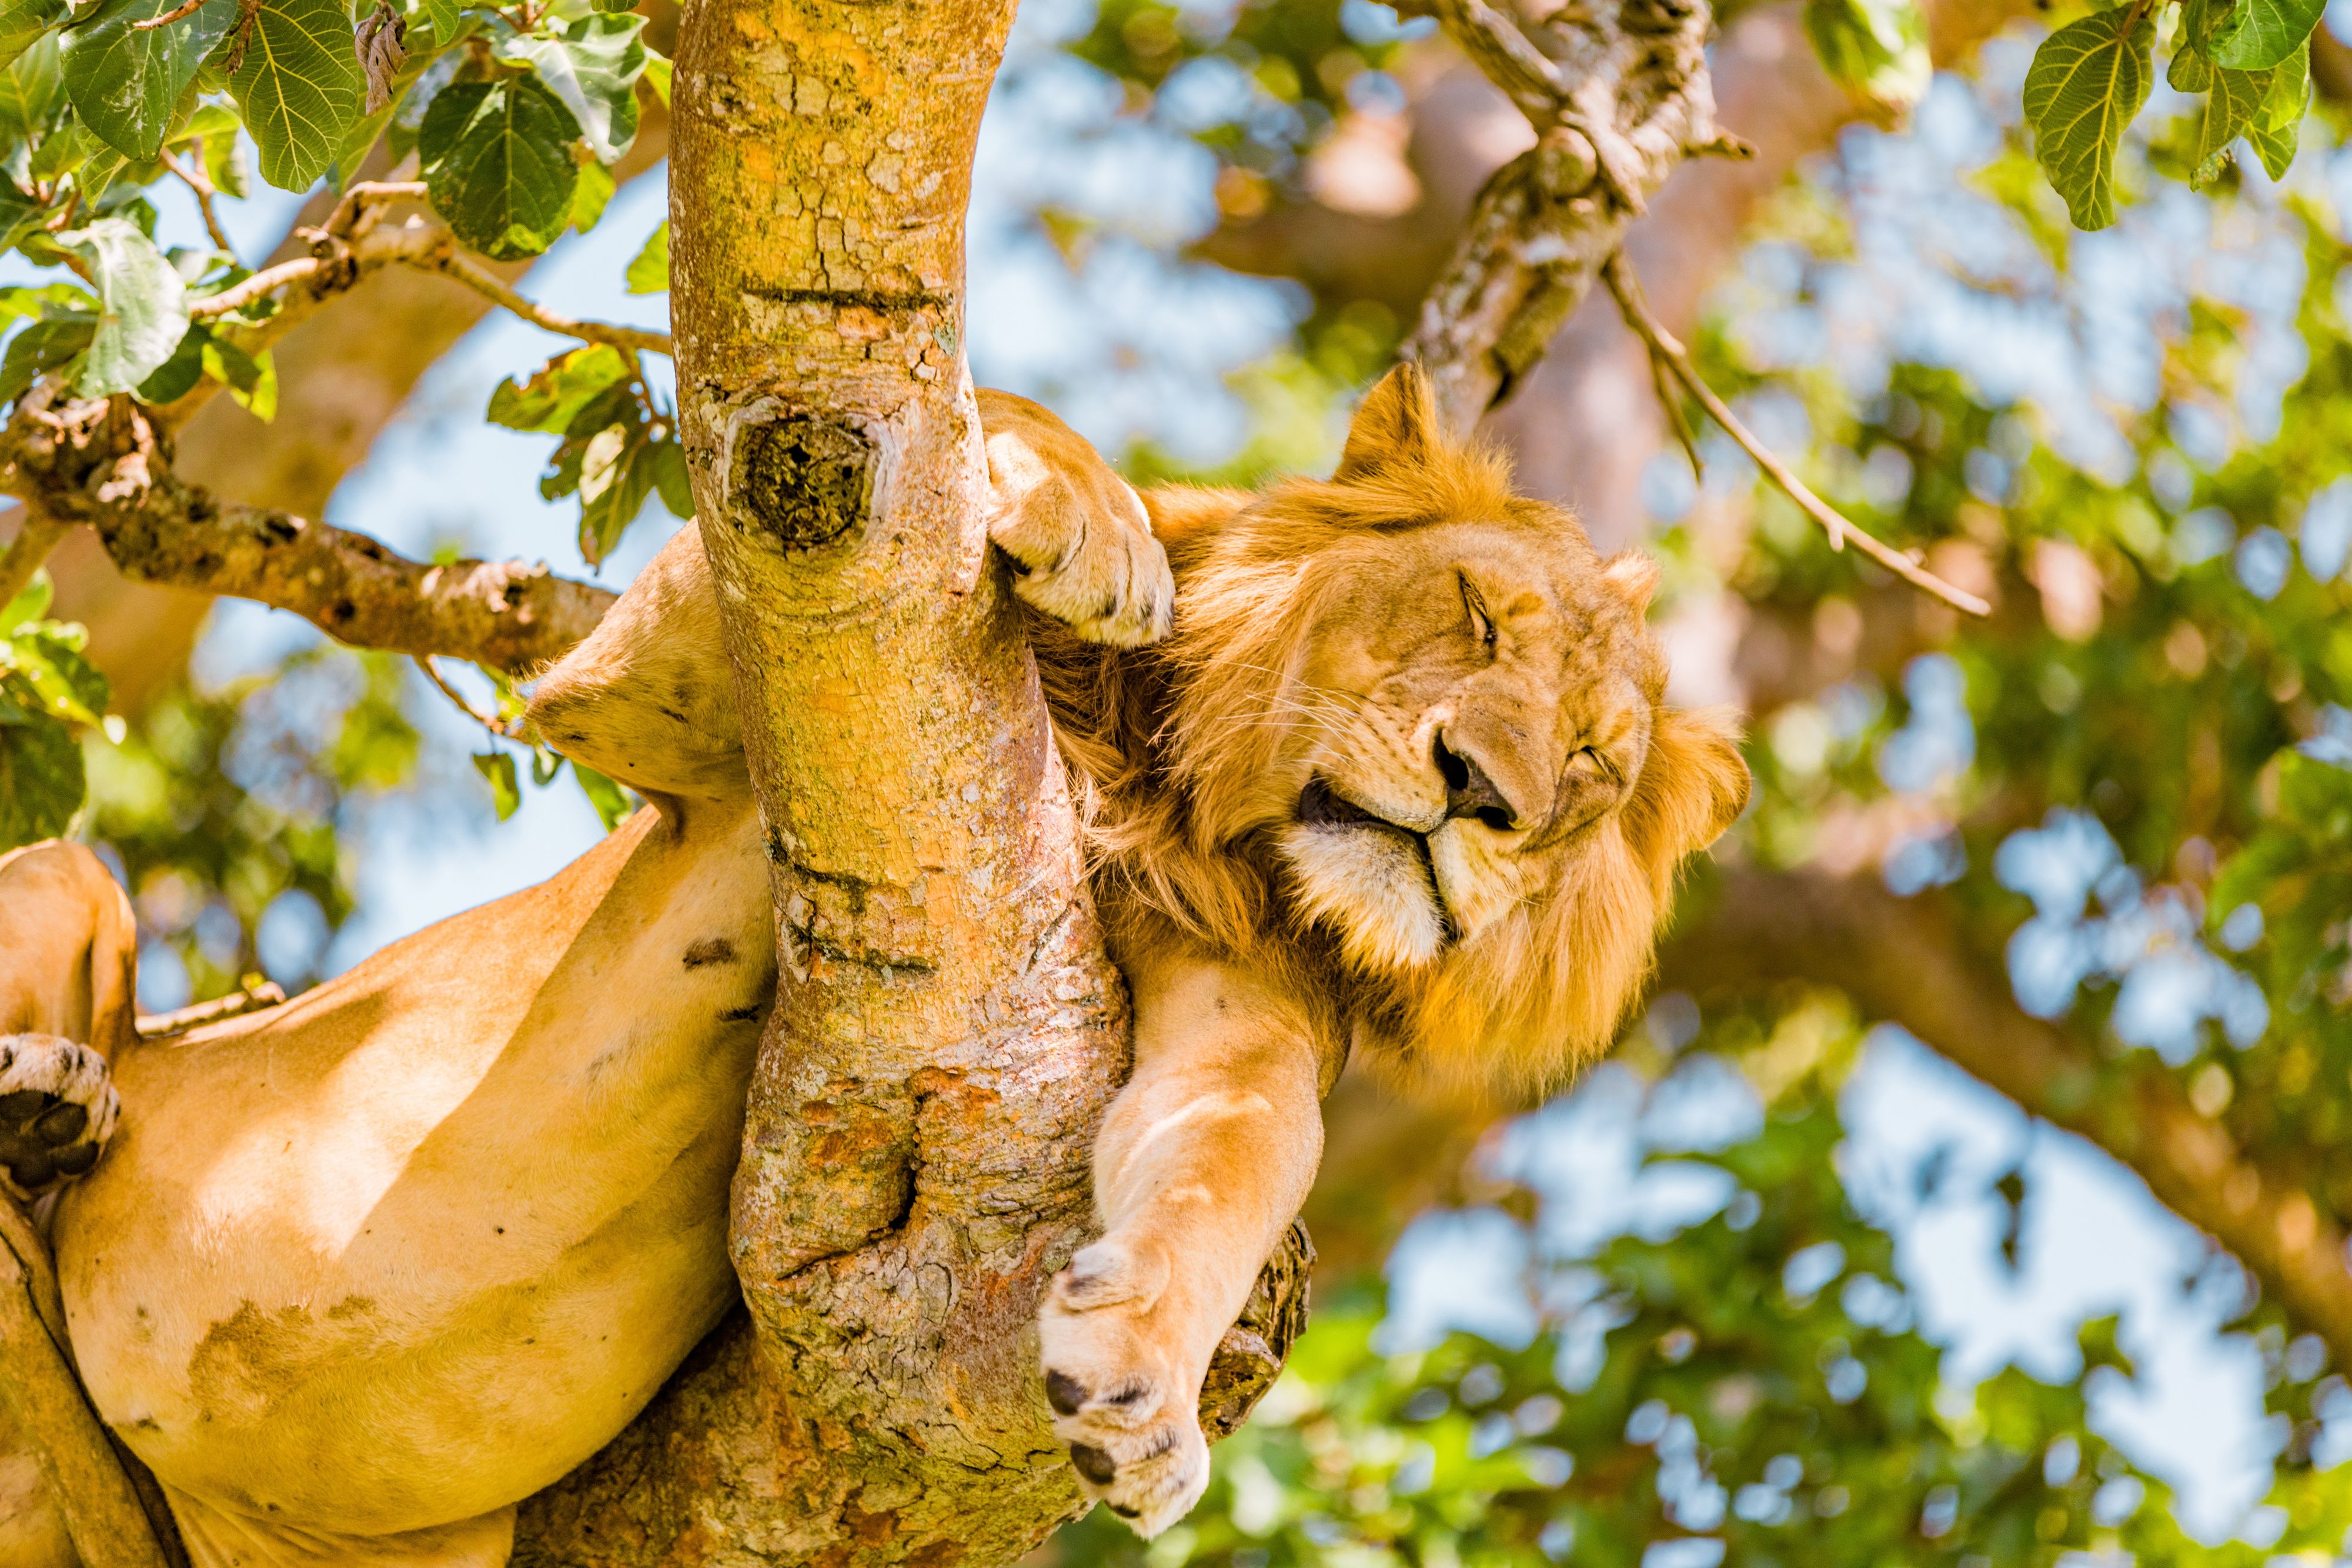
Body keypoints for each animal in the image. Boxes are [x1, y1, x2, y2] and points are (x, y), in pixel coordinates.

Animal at [0, 364, 1746, 1561]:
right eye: (1473, 611)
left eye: (1590, 759)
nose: (1482, 792)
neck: (1185, 793)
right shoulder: (642, 696)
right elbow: (975, 415)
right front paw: (1091, 525)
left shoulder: (1236, 1004)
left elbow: (1234, 1152)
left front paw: (1144, 1389)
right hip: (69, 876)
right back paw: (51, 1098)